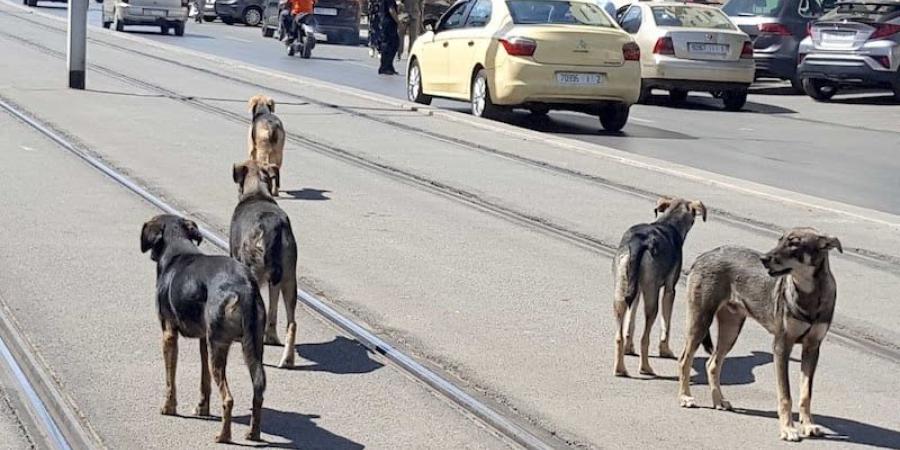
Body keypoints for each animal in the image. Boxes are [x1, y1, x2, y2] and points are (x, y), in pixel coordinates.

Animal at [141, 214, 266, 442]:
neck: (177, 248)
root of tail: (244, 287)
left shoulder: (168, 335)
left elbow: (170, 379)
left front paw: (168, 407)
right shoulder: (202, 340)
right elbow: (204, 379)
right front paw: (202, 408)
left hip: (219, 346)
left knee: (228, 398)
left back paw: (223, 436)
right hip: (251, 347)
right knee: (258, 391)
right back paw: (253, 433)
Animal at [230, 160, 300, 368]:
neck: (257, 190)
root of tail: (272, 228)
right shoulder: (274, 281)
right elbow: (273, 310)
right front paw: (271, 337)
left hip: (252, 270)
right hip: (289, 278)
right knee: (292, 323)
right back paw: (288, 359)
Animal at [616, 197, 708, 376]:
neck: (669, 222)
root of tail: (639, 242)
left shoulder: (637, 292)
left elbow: (630, 324)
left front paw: (629, 349)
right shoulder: (670, 289)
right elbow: (666, 324)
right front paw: (665, 350)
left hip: (621, 293)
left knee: (619, 336)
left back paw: (620, 368)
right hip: (652, 298)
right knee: (645, 338)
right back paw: (645, 368)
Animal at [680, 229, 840, 442]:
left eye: (794, 244)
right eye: (780, 240)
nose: (763, 259)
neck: (810, 293)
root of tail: (705, 254)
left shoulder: (812, 348)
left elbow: (806, 394)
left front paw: (807, 425)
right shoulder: (781, 347)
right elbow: (785, 395)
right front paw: (788, 429)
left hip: (731, 329)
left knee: (712, 363)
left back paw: (719, 400)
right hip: (700, 321)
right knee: (684, 360)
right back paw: (685, 397)